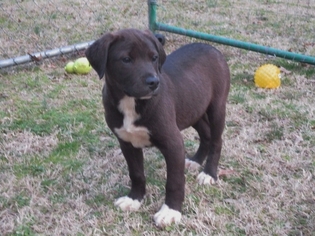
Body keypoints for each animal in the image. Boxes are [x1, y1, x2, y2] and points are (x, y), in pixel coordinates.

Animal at [85, 29, 231, 227]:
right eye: (126, 59)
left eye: (154, 57)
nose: (154, 82)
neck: (132, 103)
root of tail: (210, 46)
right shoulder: (126, 143)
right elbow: (136, 173)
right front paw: (134, 199)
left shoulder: (173, 143)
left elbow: (174, 181)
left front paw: (171, 211)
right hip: (192, 108)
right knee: (206, 134)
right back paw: (196, 160)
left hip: (217, 106)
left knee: (216, 140)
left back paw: (209, 173)